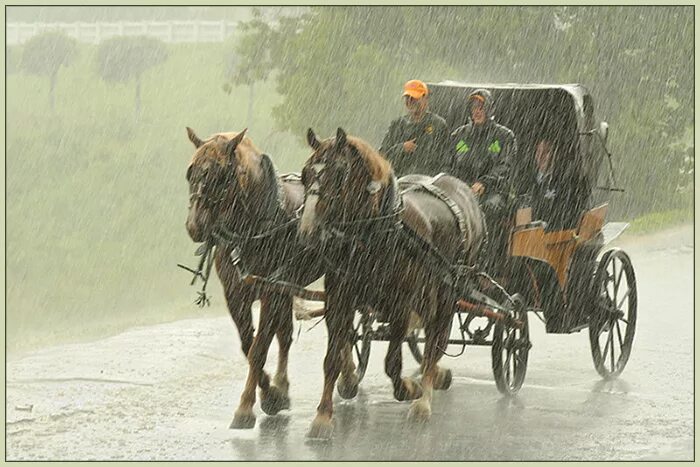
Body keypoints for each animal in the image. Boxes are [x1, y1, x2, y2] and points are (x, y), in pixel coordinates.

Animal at [186, 128, 318, 432]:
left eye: (221, 174)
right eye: (191, 172)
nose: (195, 226)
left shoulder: (270, 291)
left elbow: (259, 348)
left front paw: (247, 407)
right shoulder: (235, 294)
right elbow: (249, 345)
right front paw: (271, 393)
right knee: (285, 335)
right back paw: (283, 386)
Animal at [298, 127, 484, 438]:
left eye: (340, 172)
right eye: (305, 174)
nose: (308, 231)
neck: (375, 232)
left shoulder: (400, 304)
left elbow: (392, 363)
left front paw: (409, 388)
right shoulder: (339, 300)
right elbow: (333, 359)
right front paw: (323, 416)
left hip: (449, 290)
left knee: (436, 339)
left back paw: (424, 398)